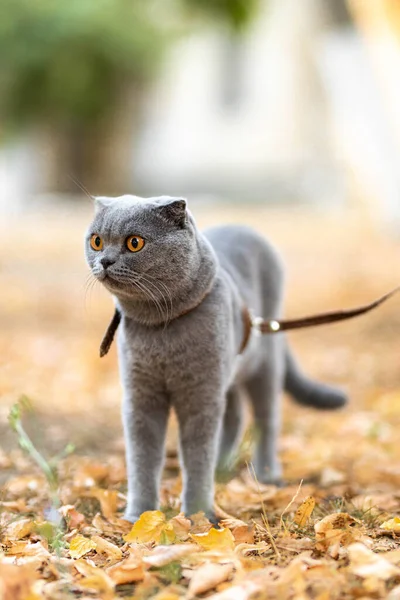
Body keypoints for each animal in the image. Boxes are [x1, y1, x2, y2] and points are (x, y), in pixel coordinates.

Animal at [85, 196, 346, 520]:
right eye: (96, 241)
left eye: (135, 243)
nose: (105, 261)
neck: (161, 328)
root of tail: (243, 226)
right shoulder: (141, 397)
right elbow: (142, 458)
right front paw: (139, 516)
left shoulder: (200, 395)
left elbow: (198, 456)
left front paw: (197, 515)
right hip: (225, 372)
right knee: (235, 416)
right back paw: (221, 469)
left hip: (262, 365)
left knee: (265, 419)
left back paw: (266, 474)